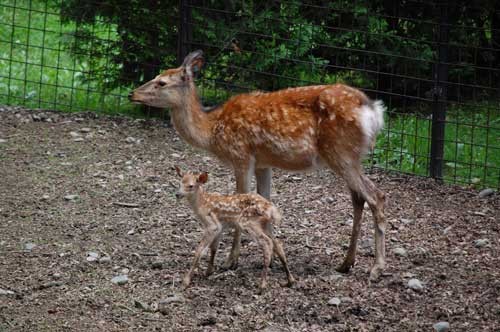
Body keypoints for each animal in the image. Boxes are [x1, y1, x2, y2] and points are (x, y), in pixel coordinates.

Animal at [129, 50, 386, 280]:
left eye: (161, 82)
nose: (132, 94)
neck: (212, 130)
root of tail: (374, 112)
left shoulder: (241, 156)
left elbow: (240, 198)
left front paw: (230, 261)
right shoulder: (264, 163)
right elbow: (266, 200)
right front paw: (272, 258)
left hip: (340, 152)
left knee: (376, 196)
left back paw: (376, 269)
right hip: (351, 157)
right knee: (359, 198)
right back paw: (346, 263)